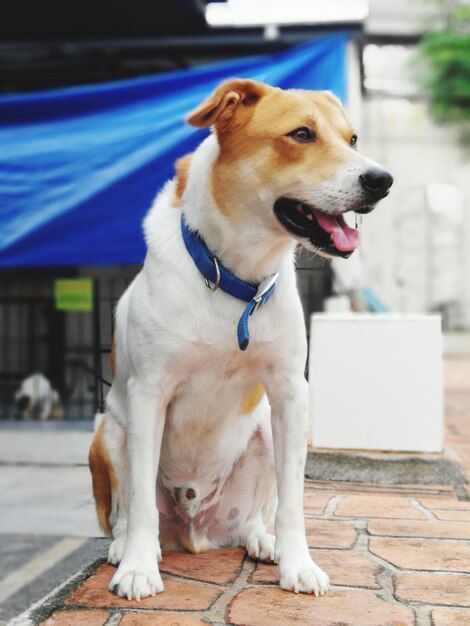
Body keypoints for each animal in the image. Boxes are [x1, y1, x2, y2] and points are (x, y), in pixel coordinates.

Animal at [89, 79, 392, 600]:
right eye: (301, 134)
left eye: (351, 138)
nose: (382, 180)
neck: (234, 278)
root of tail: (194, 530)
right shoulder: (149, 392)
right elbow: (141, 502)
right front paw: (137, 569)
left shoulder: (289, 392)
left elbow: (292, 501)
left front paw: (298, 564)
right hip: (109, 433)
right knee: (128, 509)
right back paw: (127, 546)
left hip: (266, 428)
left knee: (252, 516)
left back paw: (261, 541)